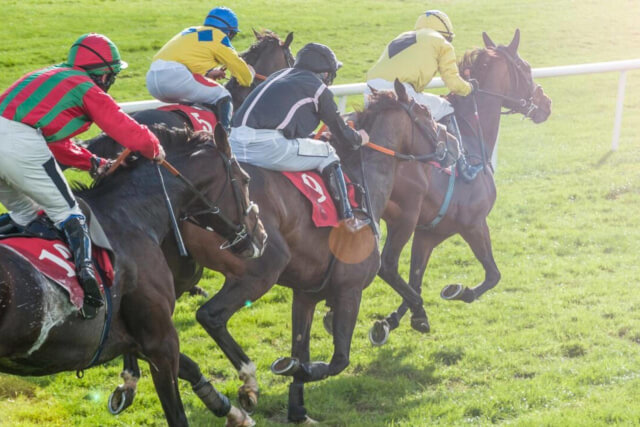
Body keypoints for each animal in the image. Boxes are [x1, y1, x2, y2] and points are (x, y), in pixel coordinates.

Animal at [0, 125, 264, 426]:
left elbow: (191, 367)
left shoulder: (130, 338)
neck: (130, 216)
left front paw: (234, 410)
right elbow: (176, 411)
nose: (261, 236)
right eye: (245, 180)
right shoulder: (160, 340)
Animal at [368, 30, 552, 346]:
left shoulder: (428, 232)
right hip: (402, 219)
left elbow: (416, 278)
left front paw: (396, 319)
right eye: (526, 68)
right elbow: (493, 274)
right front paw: (457, 291)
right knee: (386, 264)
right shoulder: (472, 223)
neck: (468, 134)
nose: (547, 104)